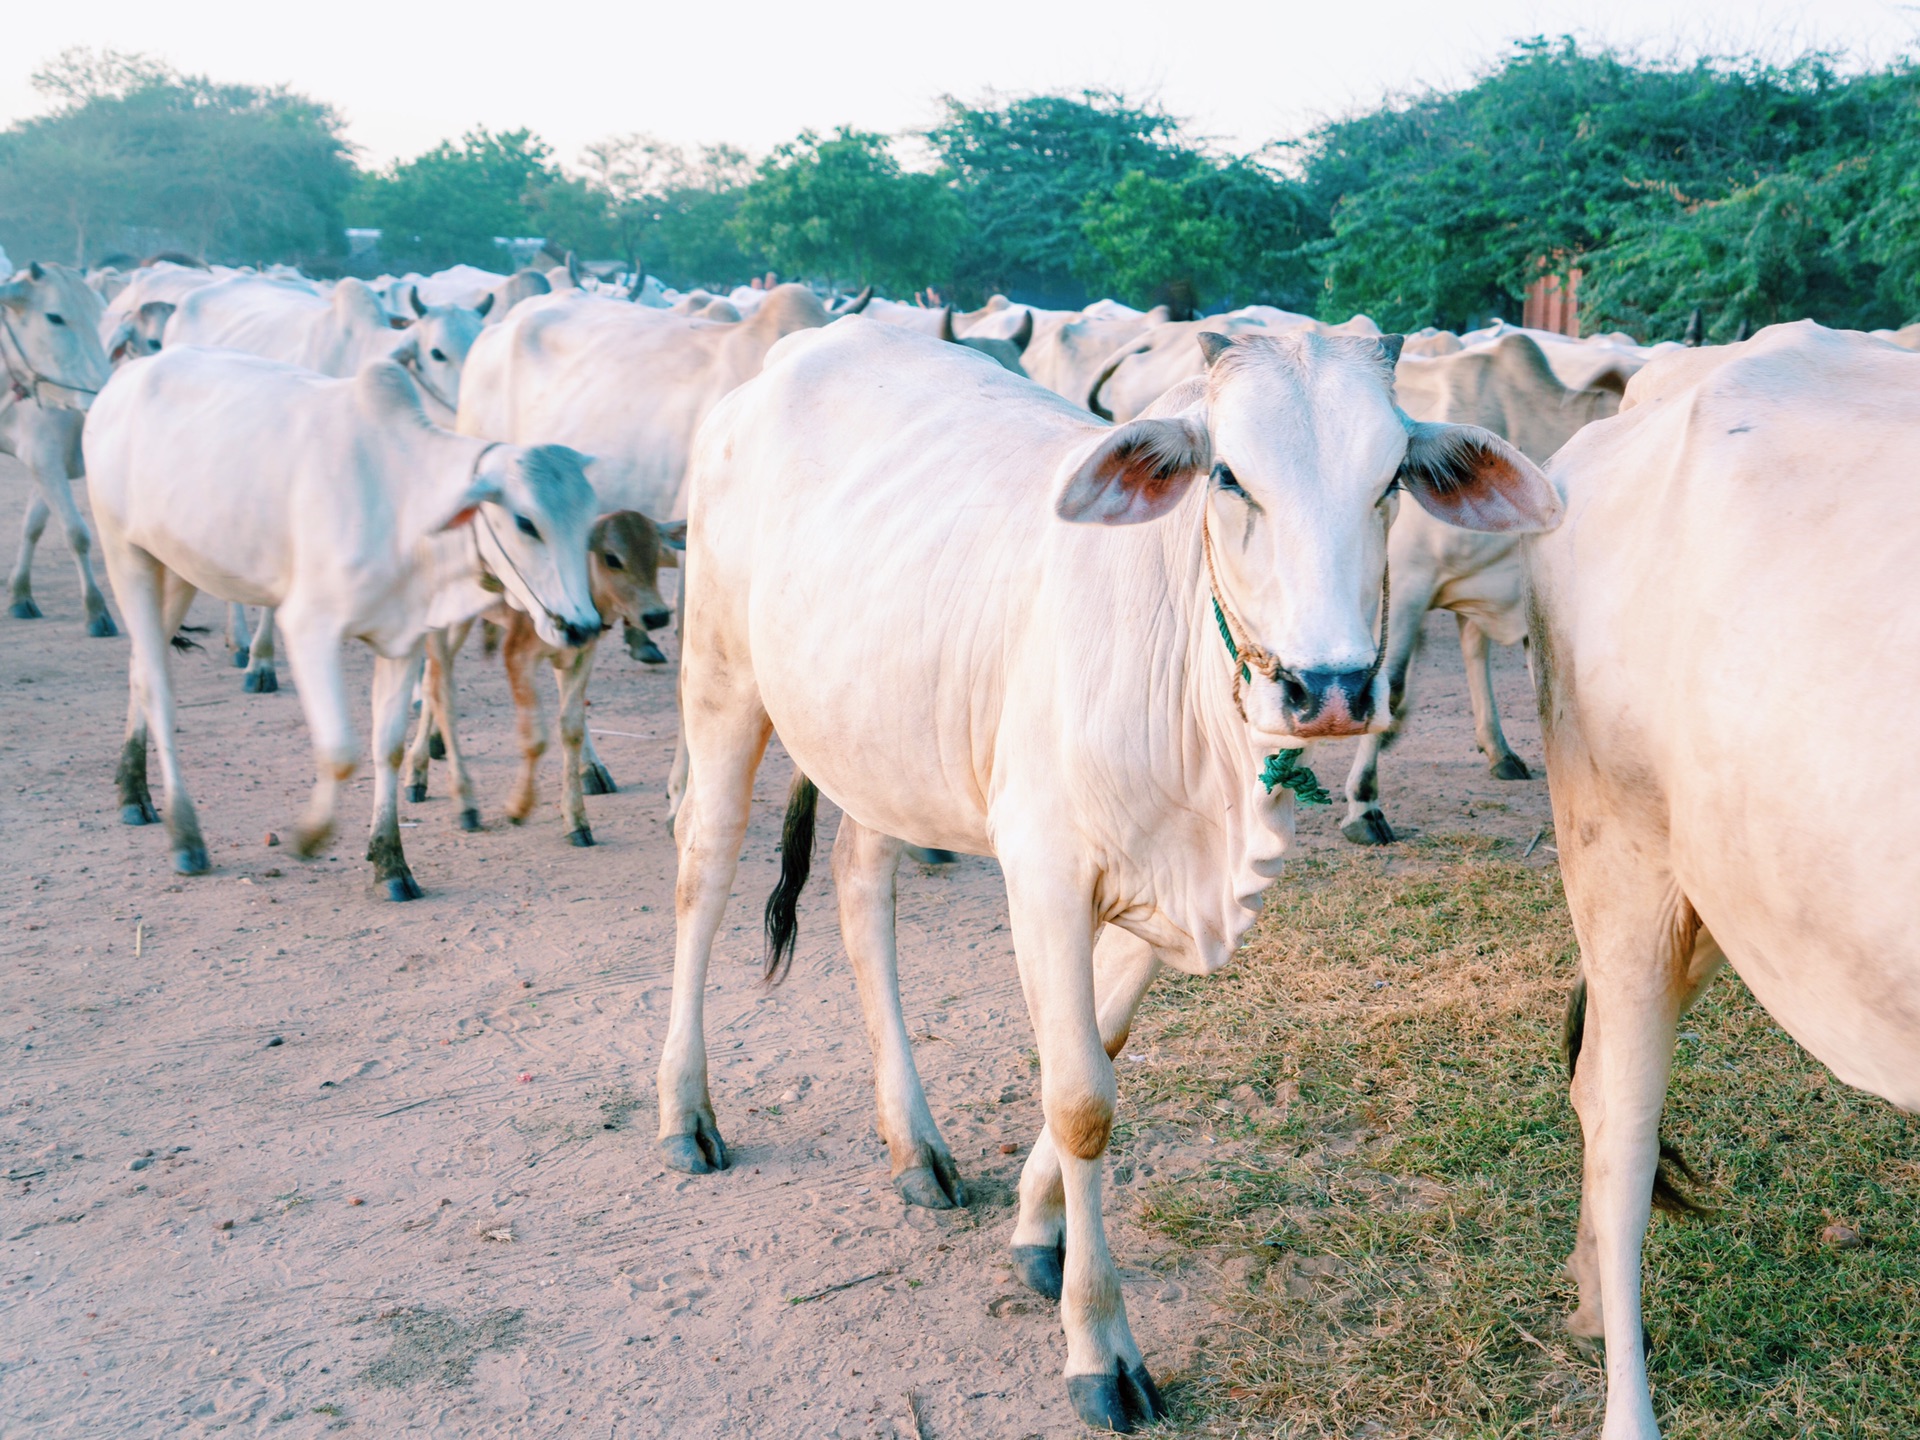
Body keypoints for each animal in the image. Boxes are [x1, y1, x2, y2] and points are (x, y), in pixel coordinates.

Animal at [1, 264, 115, 637]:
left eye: (100, 313)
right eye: (54, 316)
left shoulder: (52, 464)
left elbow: (33, 525)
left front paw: (20, 594)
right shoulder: (44, 459)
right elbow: (76, 533)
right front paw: (96, 611)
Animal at [84, 347, 599, 902]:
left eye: (589, 519)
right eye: (526, 523)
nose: (582, 626)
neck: (401, 499)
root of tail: (125, 378)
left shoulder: (404, 641)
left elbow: (386, 749)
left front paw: (390, 862)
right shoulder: (309, 628)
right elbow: (340, 752)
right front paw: (310, 836)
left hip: (179, 570)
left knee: (141, 668)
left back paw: (133, 791)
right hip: (126, 556)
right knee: (157, 686)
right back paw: (185, 833)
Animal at [660, 320, 1559, 1436]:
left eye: (1390, 476)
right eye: (1229, 474)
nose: (1332, 688)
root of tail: (802, 350)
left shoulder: (1163, 893)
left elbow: (1105, 1042)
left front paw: (1038, 1229)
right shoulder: (1044, 873)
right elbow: (1081, 1095)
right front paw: (1100, 1346)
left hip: (880, 744)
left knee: (863, 891)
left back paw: (914, 1146)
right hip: (721, 682)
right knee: (704, 865)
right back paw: (686, 1113)